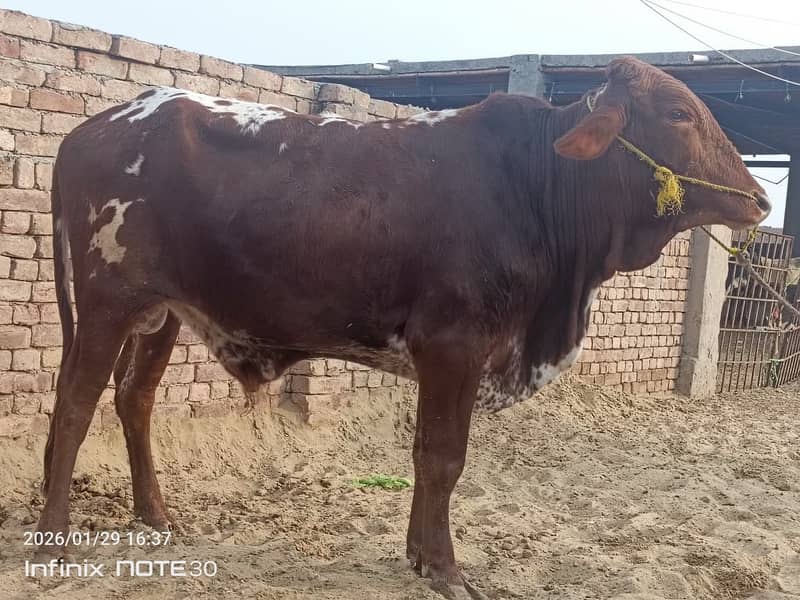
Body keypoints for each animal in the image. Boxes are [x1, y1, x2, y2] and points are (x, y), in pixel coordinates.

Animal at [35, 56, 769, 599]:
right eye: (679, 113)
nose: (760, 198)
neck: (537, 186)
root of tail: (88, 130)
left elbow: (425, 455)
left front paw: (419, 555)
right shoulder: (453, 346)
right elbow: (442, 457)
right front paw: (443, 568)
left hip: (162, 313)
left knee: (134, 399)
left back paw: (155, 514)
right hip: (105, 301)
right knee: (73, 405)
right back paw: (55, 542)